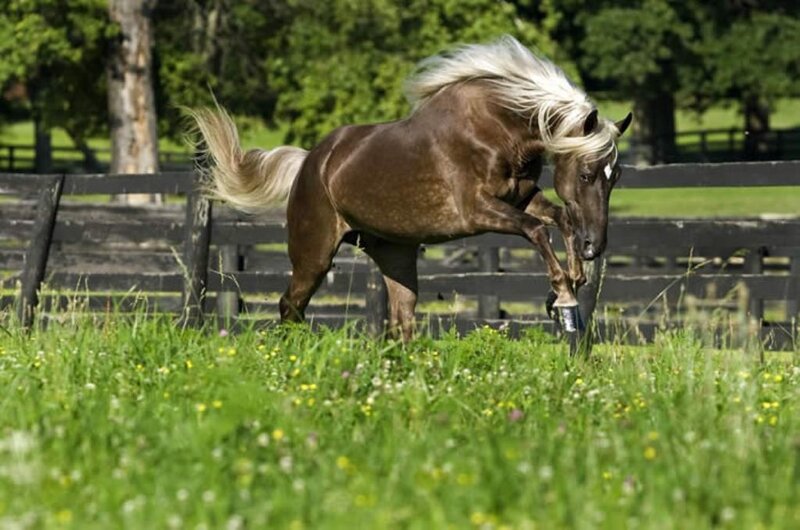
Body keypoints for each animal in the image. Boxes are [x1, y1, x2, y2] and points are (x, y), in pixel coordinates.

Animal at [190, 36, 632, 342]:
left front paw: (572, 281)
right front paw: (563, 295)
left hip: (395, 257)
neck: (497, 128)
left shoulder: (522, 197)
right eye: (588, 174)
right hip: (314, 255)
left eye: (616, 177)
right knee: (290, 306)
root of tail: (309, 164)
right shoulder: (477, 210)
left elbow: (560, 218)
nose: (596, 247)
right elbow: (538, 229)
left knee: (400, 324)